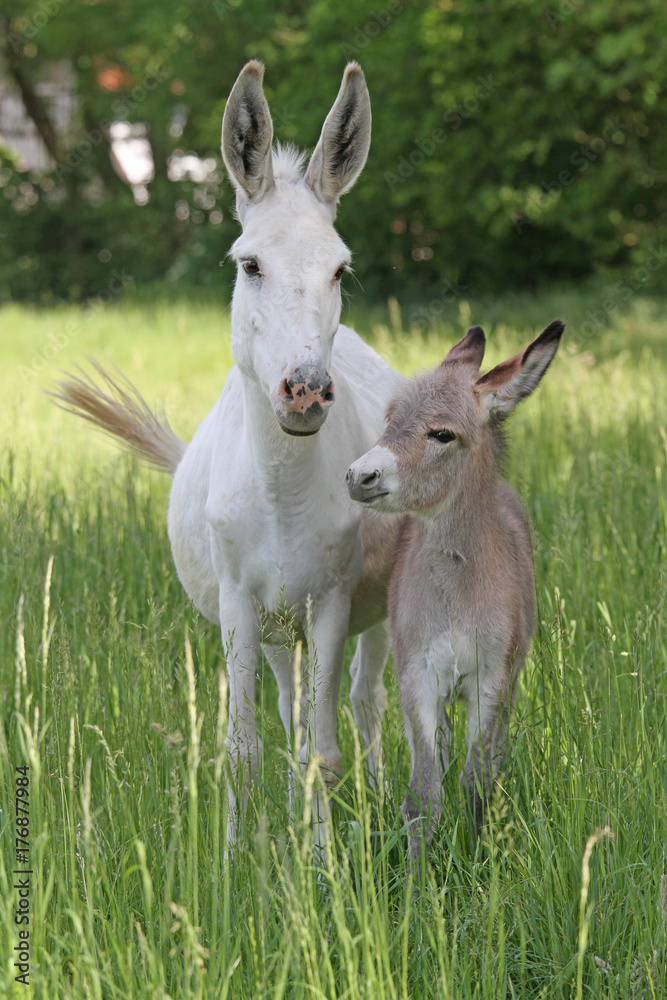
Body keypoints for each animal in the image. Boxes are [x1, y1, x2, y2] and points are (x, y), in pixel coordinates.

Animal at [348, 320, 568, 852]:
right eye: (390, 418)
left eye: (442, 434)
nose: (359, 476)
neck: (456, 598)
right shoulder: (417, 674)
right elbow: (424, 792)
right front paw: (421, 871)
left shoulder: (493, 678)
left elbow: (478, 780)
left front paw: (479, 857)